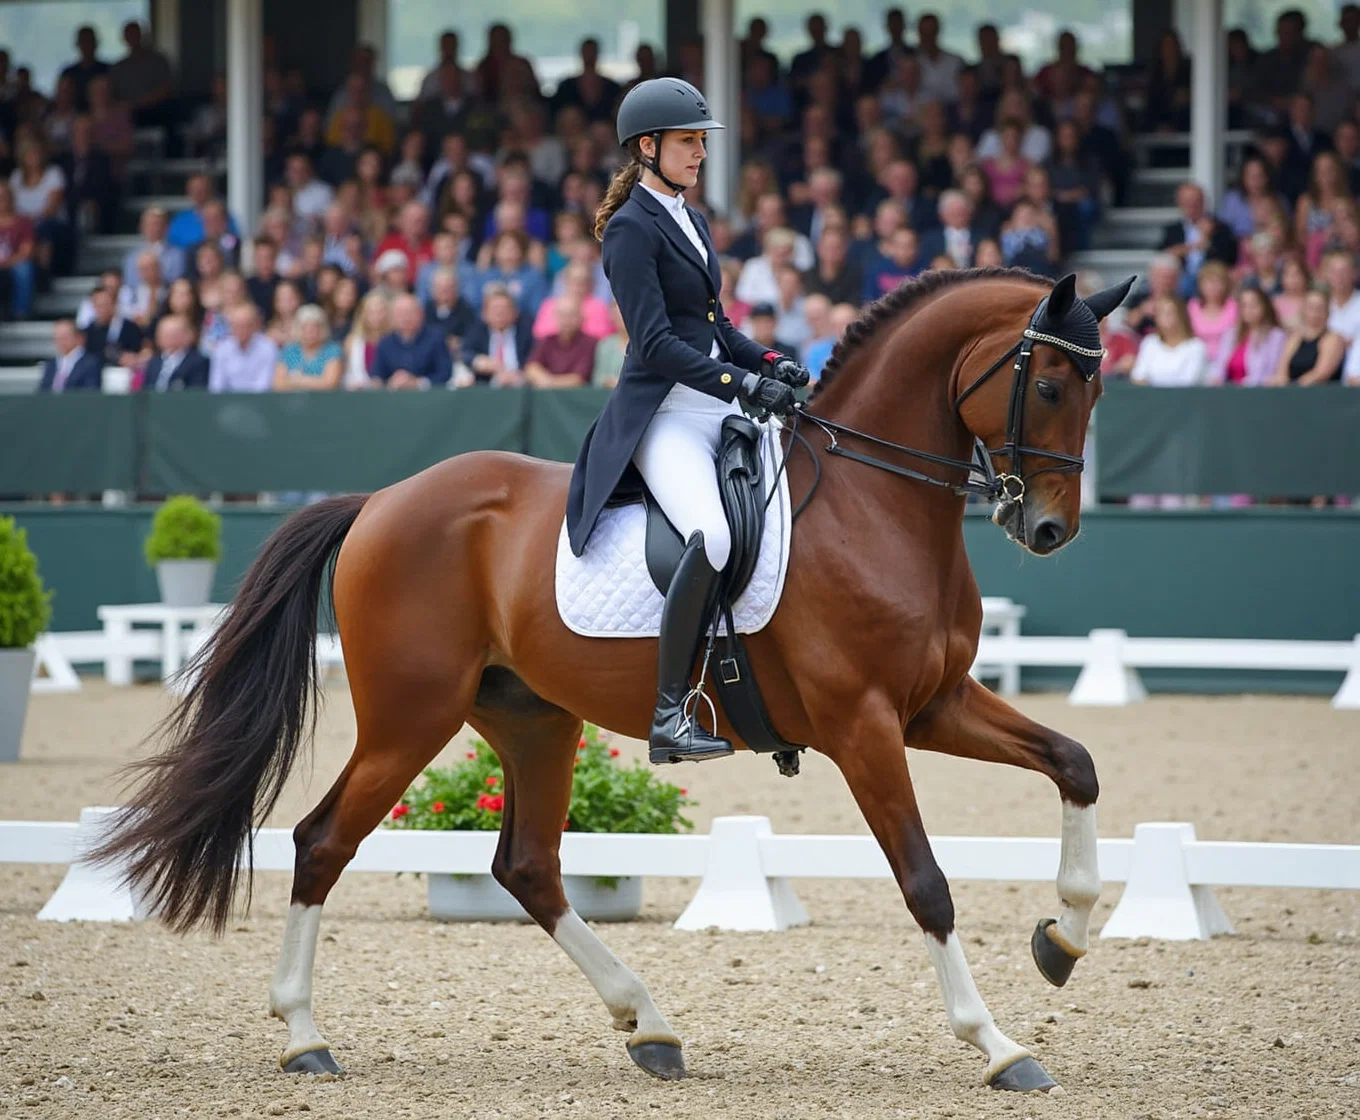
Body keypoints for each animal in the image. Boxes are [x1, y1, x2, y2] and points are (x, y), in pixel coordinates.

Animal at [95, 269, 1131, 1092]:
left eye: (1097, 393)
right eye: (1046, 384)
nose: (1048, 529)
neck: (873, 505)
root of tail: (382, 501)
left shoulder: (931, 707)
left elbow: (1075, 762)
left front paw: (1064, 939)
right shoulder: (863, 726)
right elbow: (927, 882)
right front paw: (998, 1045)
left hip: (533, 720)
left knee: (527, 866)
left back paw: (650, 1025)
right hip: (409, 718)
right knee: (322, 843)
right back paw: (306, 1037)